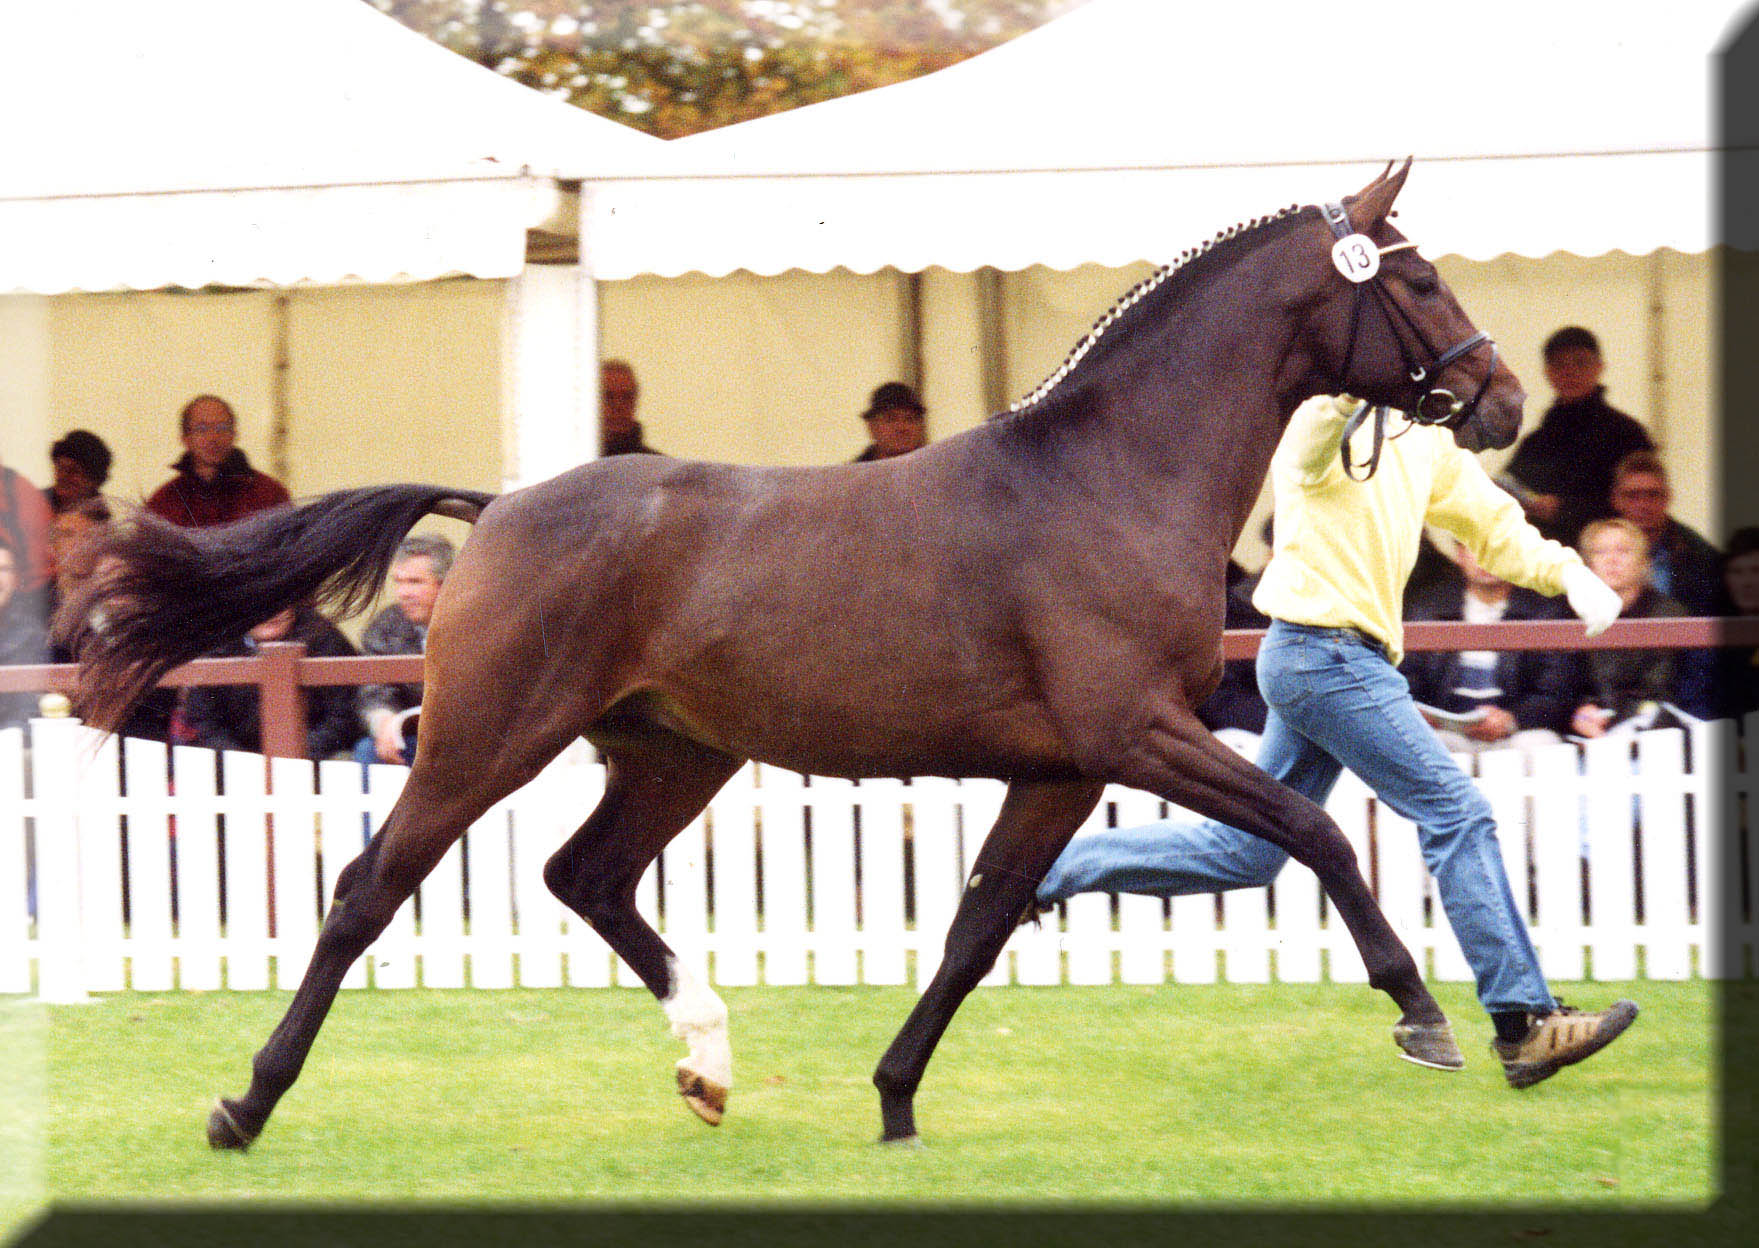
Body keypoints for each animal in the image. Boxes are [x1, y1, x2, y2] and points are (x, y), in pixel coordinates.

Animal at [68, 161, 1526, 1140]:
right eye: (1412, 275)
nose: (1500, 397)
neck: (1105, 480)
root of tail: (496, 510)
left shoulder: (1059, 766)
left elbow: (979, 922)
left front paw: (892, 1101)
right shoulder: (1133, 733)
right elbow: (1318, 830)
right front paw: (1428, 1017)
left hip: (672, 756)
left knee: (585, 876)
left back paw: (707, 1065)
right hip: (489, 737)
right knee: (370, 888)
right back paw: (245, 1105)